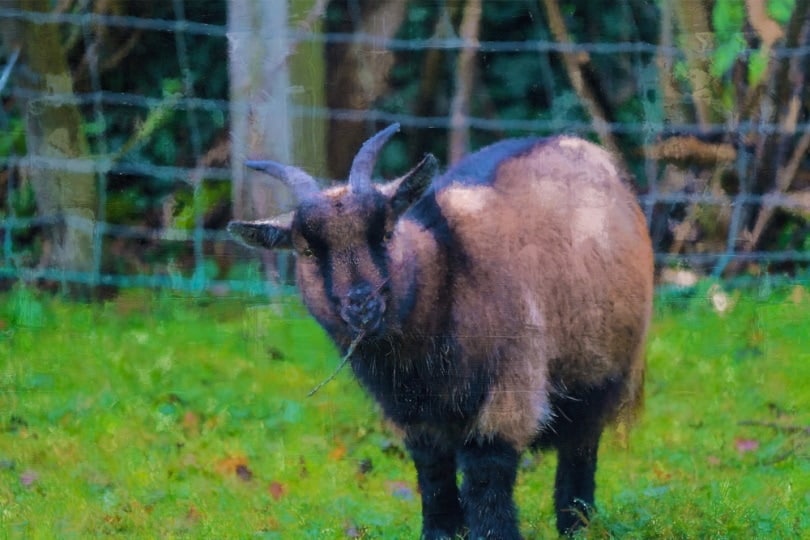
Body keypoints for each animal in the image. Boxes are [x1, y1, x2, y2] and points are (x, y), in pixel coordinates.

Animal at [228, 123, 653, 538]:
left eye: (386, 233)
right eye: (308, 252)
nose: (362, 305)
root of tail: (582, 146)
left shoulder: (508, 388)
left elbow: (486, 473)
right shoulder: (413, 415)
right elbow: (433, 472)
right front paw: (442, 532)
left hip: (602, 368)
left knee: (580, 446)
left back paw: (575, 524)